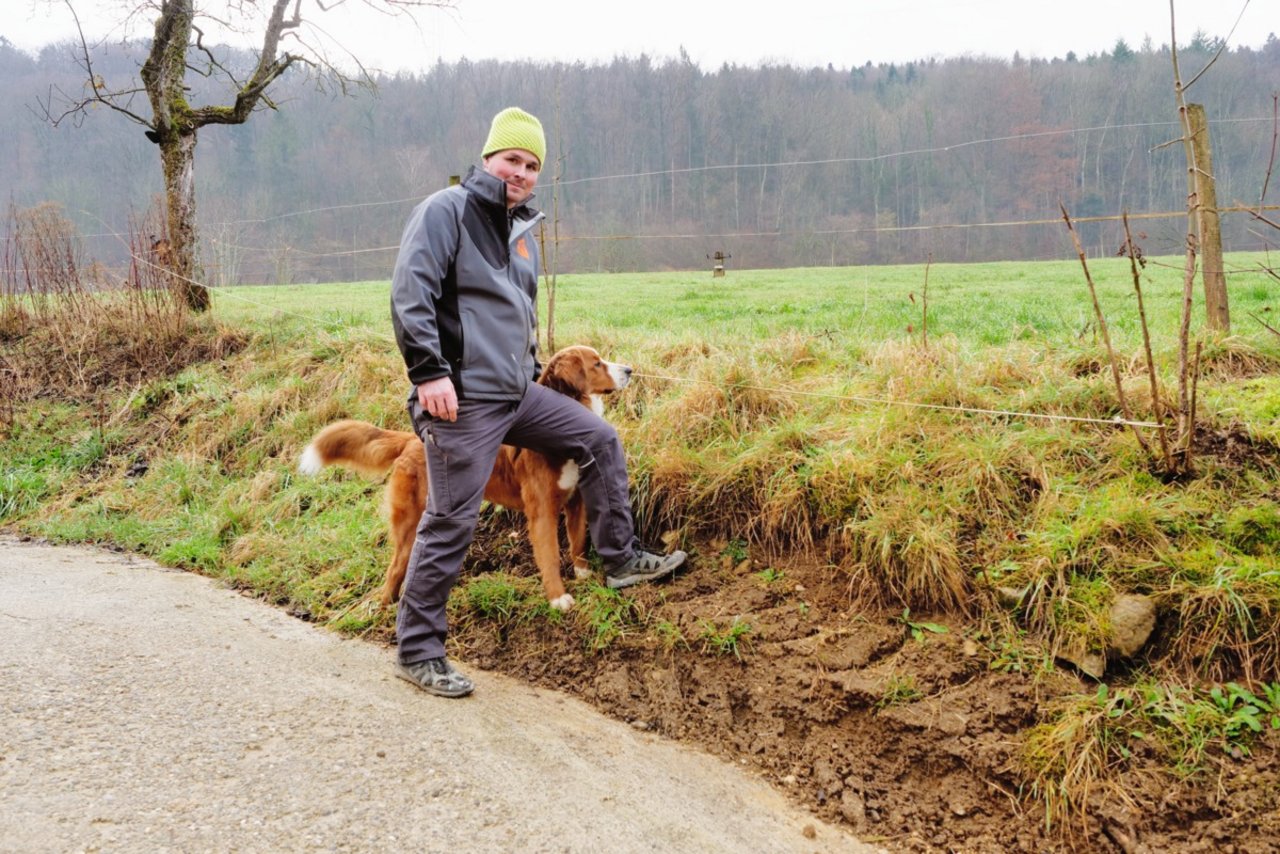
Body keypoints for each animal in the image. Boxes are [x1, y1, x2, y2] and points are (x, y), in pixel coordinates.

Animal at [295, 348, 634, 614]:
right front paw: (558, 598)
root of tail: (412, 441)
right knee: (395, 568)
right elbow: (549, 556)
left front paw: (583, 573)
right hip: (410, 521)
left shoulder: (576, 502)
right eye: (597, 364)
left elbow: (578, 543)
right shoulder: (541, 513)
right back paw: (384, 610)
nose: (629, 369)